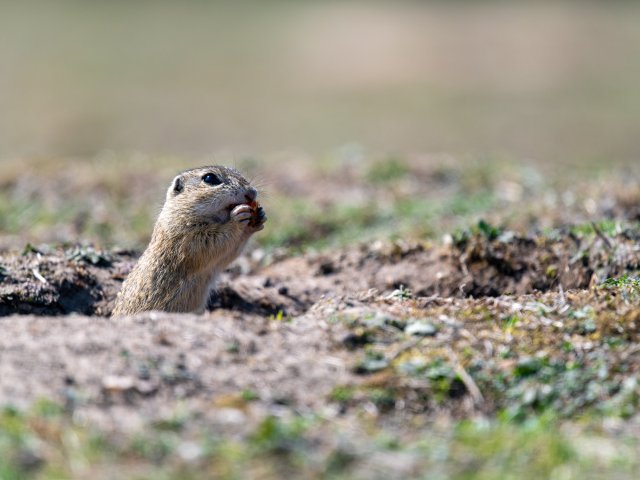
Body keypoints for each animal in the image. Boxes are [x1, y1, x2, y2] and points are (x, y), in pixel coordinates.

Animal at [112, 167, 264, 316]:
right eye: (209, 178)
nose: (252, 193)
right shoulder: (188, 236)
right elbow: (214, 242)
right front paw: (238, 217)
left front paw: (260, 217)